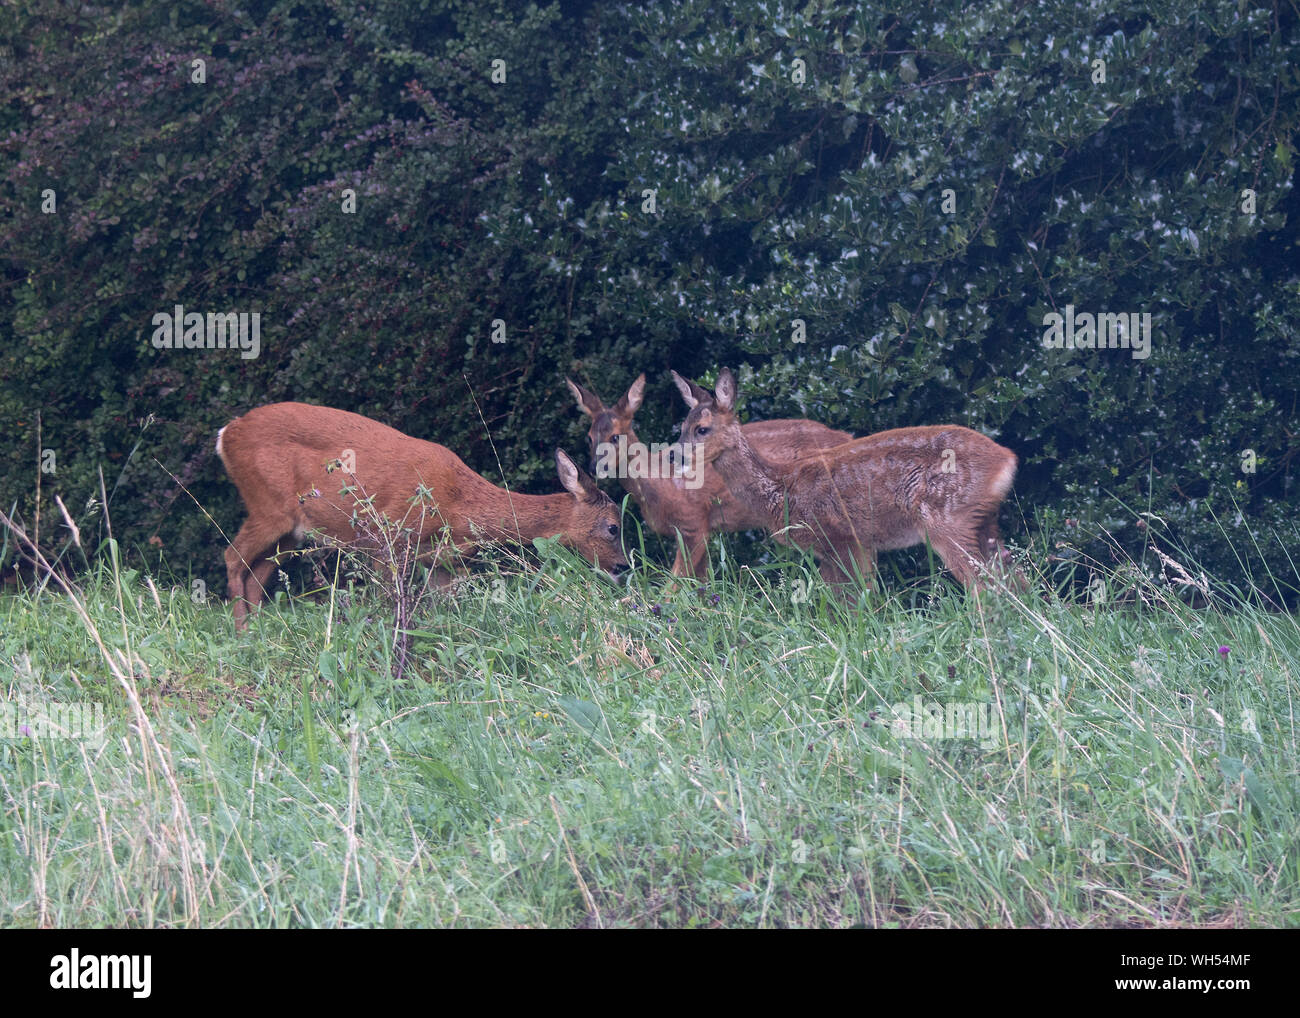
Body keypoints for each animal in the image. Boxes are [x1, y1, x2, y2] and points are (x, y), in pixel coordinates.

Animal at [214, 400, 629, 624]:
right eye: (613, 527)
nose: (624, 568)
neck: (460, 505)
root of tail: (225, 435)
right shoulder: (389, 540)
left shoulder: (443, 562)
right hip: (267, 504)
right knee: (232, 557)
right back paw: (241, 632)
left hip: (292, 529)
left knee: (257, 572)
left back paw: (260, 629)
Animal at [561, 371, 847, 577]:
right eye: (589, 438)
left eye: (615, 436)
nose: (593, 467)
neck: (661, 481)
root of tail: (846, 436)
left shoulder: (694, 523)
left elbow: (676, 584)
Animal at [676, 371, 1019, 598]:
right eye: (681, 427)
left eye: (702, 429)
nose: (673, 454)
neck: (780, 487)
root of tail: (1007, 459)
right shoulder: (845, 549)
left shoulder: (843, 539)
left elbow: (855, 603)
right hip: (984, 522)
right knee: (1015, 581)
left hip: (948, 519)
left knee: (985, 589)